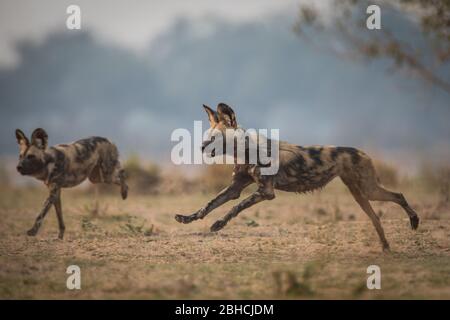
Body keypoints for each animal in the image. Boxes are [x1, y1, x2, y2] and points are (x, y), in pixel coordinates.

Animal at [175, 104, 418, 251]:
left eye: (215, 138)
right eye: (207, 136)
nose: (201, 147)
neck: (246, 149)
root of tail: (362, 152)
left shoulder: (265, 192)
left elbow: (235, 208)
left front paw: (218, 224)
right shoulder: (235, 188)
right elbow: (208, 205)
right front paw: (187, 218)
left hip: (368, 190)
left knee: (399, 195)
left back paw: (414, 221)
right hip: (360, 195)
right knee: (376, 217)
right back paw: (385, 247)